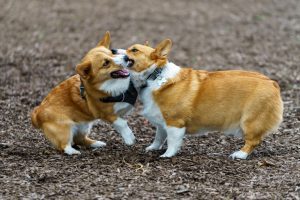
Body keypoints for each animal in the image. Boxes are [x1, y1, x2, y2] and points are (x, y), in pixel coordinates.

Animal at [115, 39, 284, 159]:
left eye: (134, 50)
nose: (114, 50)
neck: (154, 75)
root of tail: (272, 82)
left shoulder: (175, 123)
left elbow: (172, 142)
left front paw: (167, 155)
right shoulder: (162, 122)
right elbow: (159, 137)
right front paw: (152, 148)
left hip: (250, 120)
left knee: (253, 141)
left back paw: (240, 154)